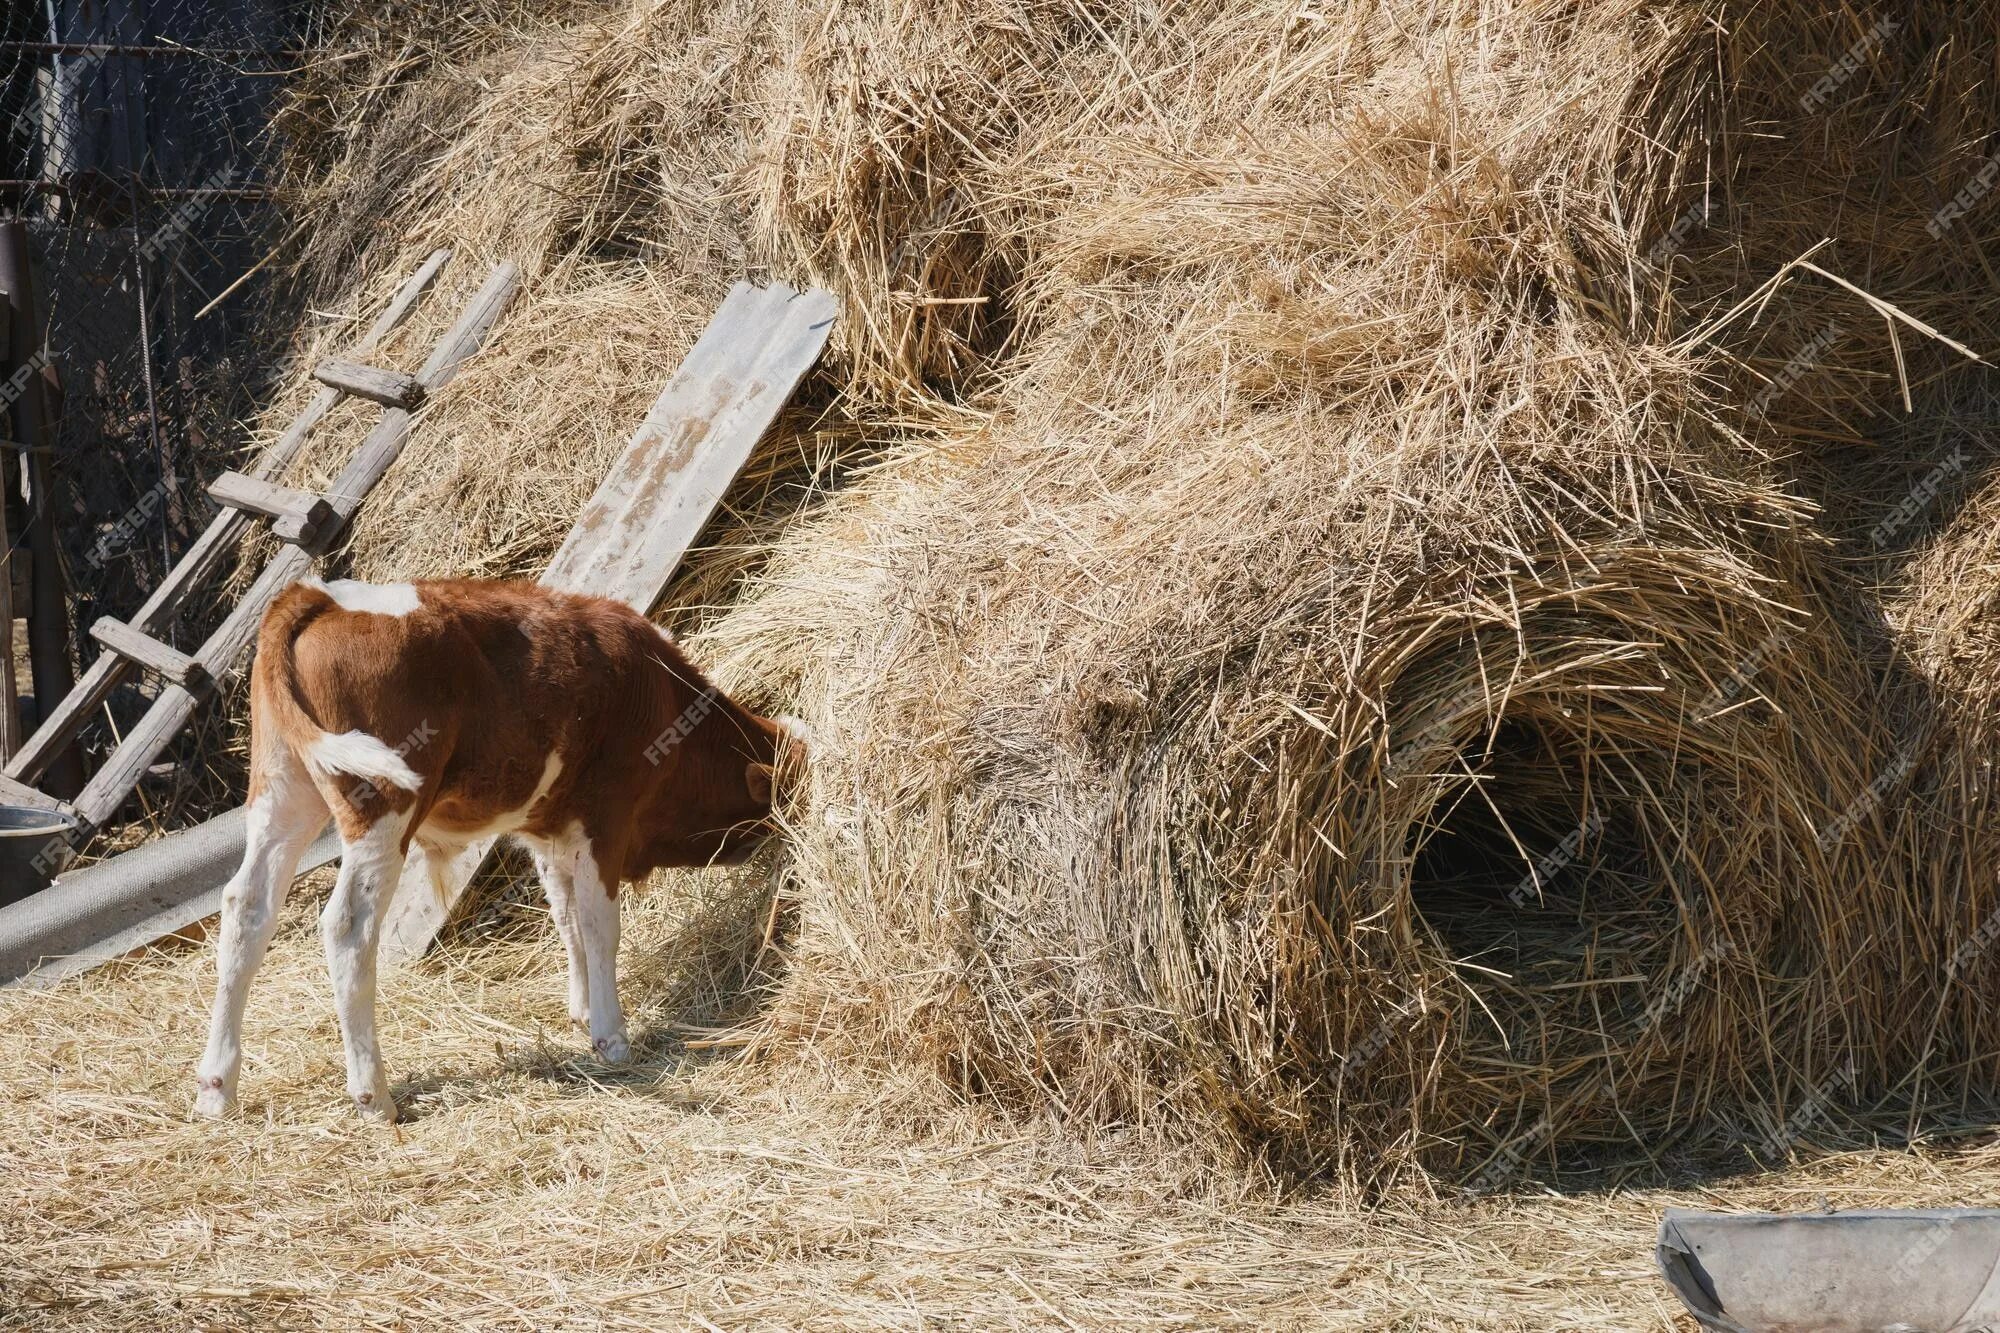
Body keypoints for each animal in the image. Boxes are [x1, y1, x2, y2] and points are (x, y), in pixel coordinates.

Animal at [195, 576, 804, 1112]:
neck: (663, 700)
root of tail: (316, 593)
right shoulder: (606, 818)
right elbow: (601, 929)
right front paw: (612, 1037)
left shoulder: (553, 830)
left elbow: (567, 919)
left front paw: (583, 1011)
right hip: (381, 806)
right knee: (348, 925)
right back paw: (373, 1095)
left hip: (282, 791)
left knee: (247, 907)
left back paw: (217, 1088)